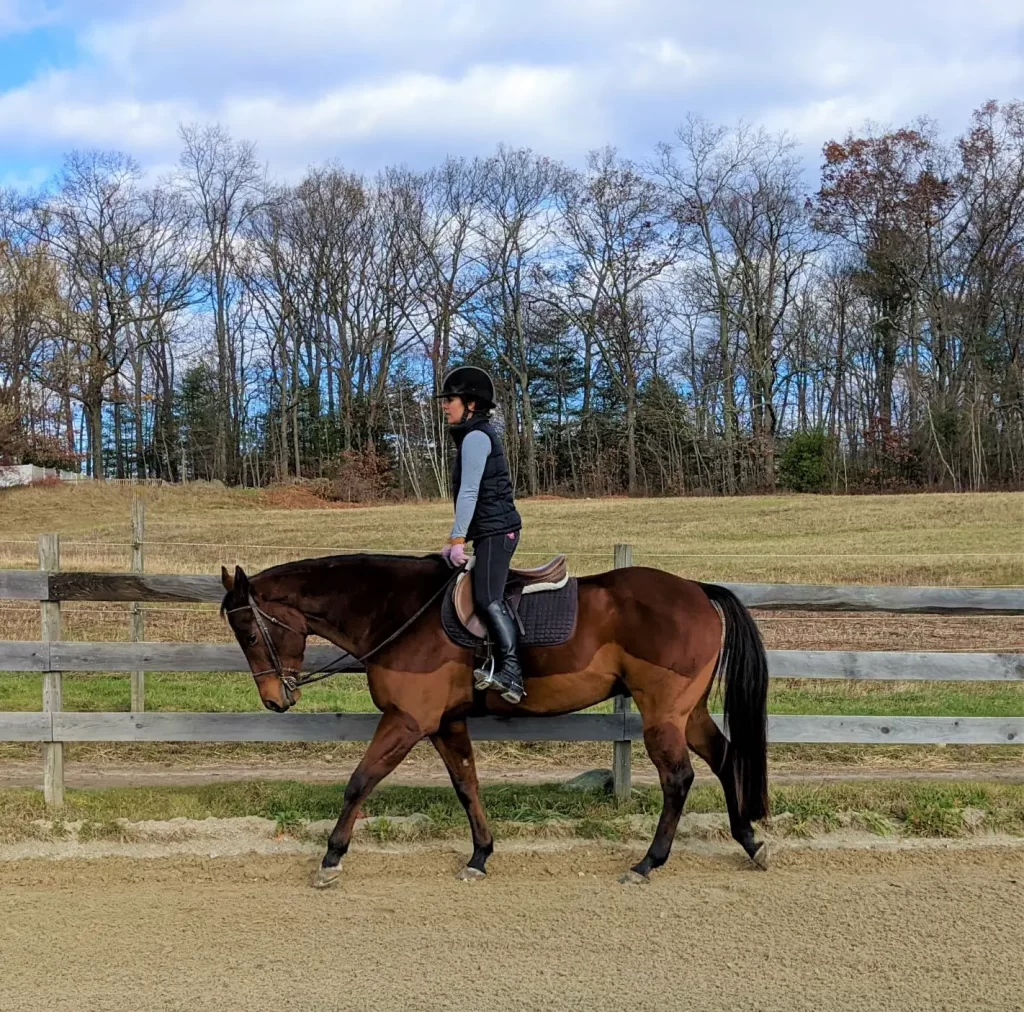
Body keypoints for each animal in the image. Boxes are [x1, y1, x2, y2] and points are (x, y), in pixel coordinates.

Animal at [222, 549, 770, 889]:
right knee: (726, 759)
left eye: (247, 634)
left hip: (663, 713)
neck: (399, 611)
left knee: (678, 778)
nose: (274, 700)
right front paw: (480, 855)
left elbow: (360, 781)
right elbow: (467, 785)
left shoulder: (408, 720)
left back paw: (647, 863)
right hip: (687, 712)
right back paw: (749, 841)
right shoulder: (445, 723)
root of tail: (696, 590)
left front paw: (331, 858)